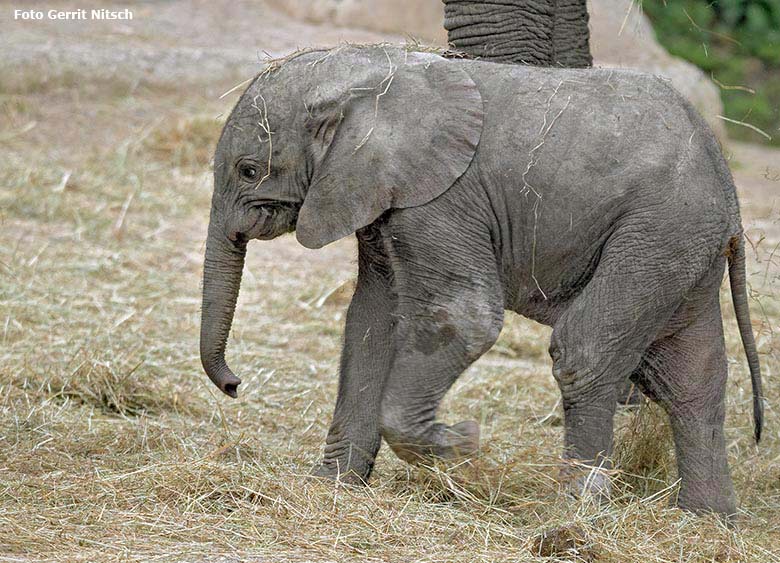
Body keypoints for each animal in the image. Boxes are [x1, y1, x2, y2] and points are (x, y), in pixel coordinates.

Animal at [198, 46, 764, 516]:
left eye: (249, 170)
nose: (235, 385)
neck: (373, 72)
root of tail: (728, 187)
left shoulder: (441, 199)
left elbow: (464, 317)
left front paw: (464, 444)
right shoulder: (385, 195)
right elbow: (372, 324)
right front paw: (331, 485)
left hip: (658, 230)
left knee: (586, 351)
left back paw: (575, 511)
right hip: (679, 248)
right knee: (691, 378)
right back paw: (706, 520)